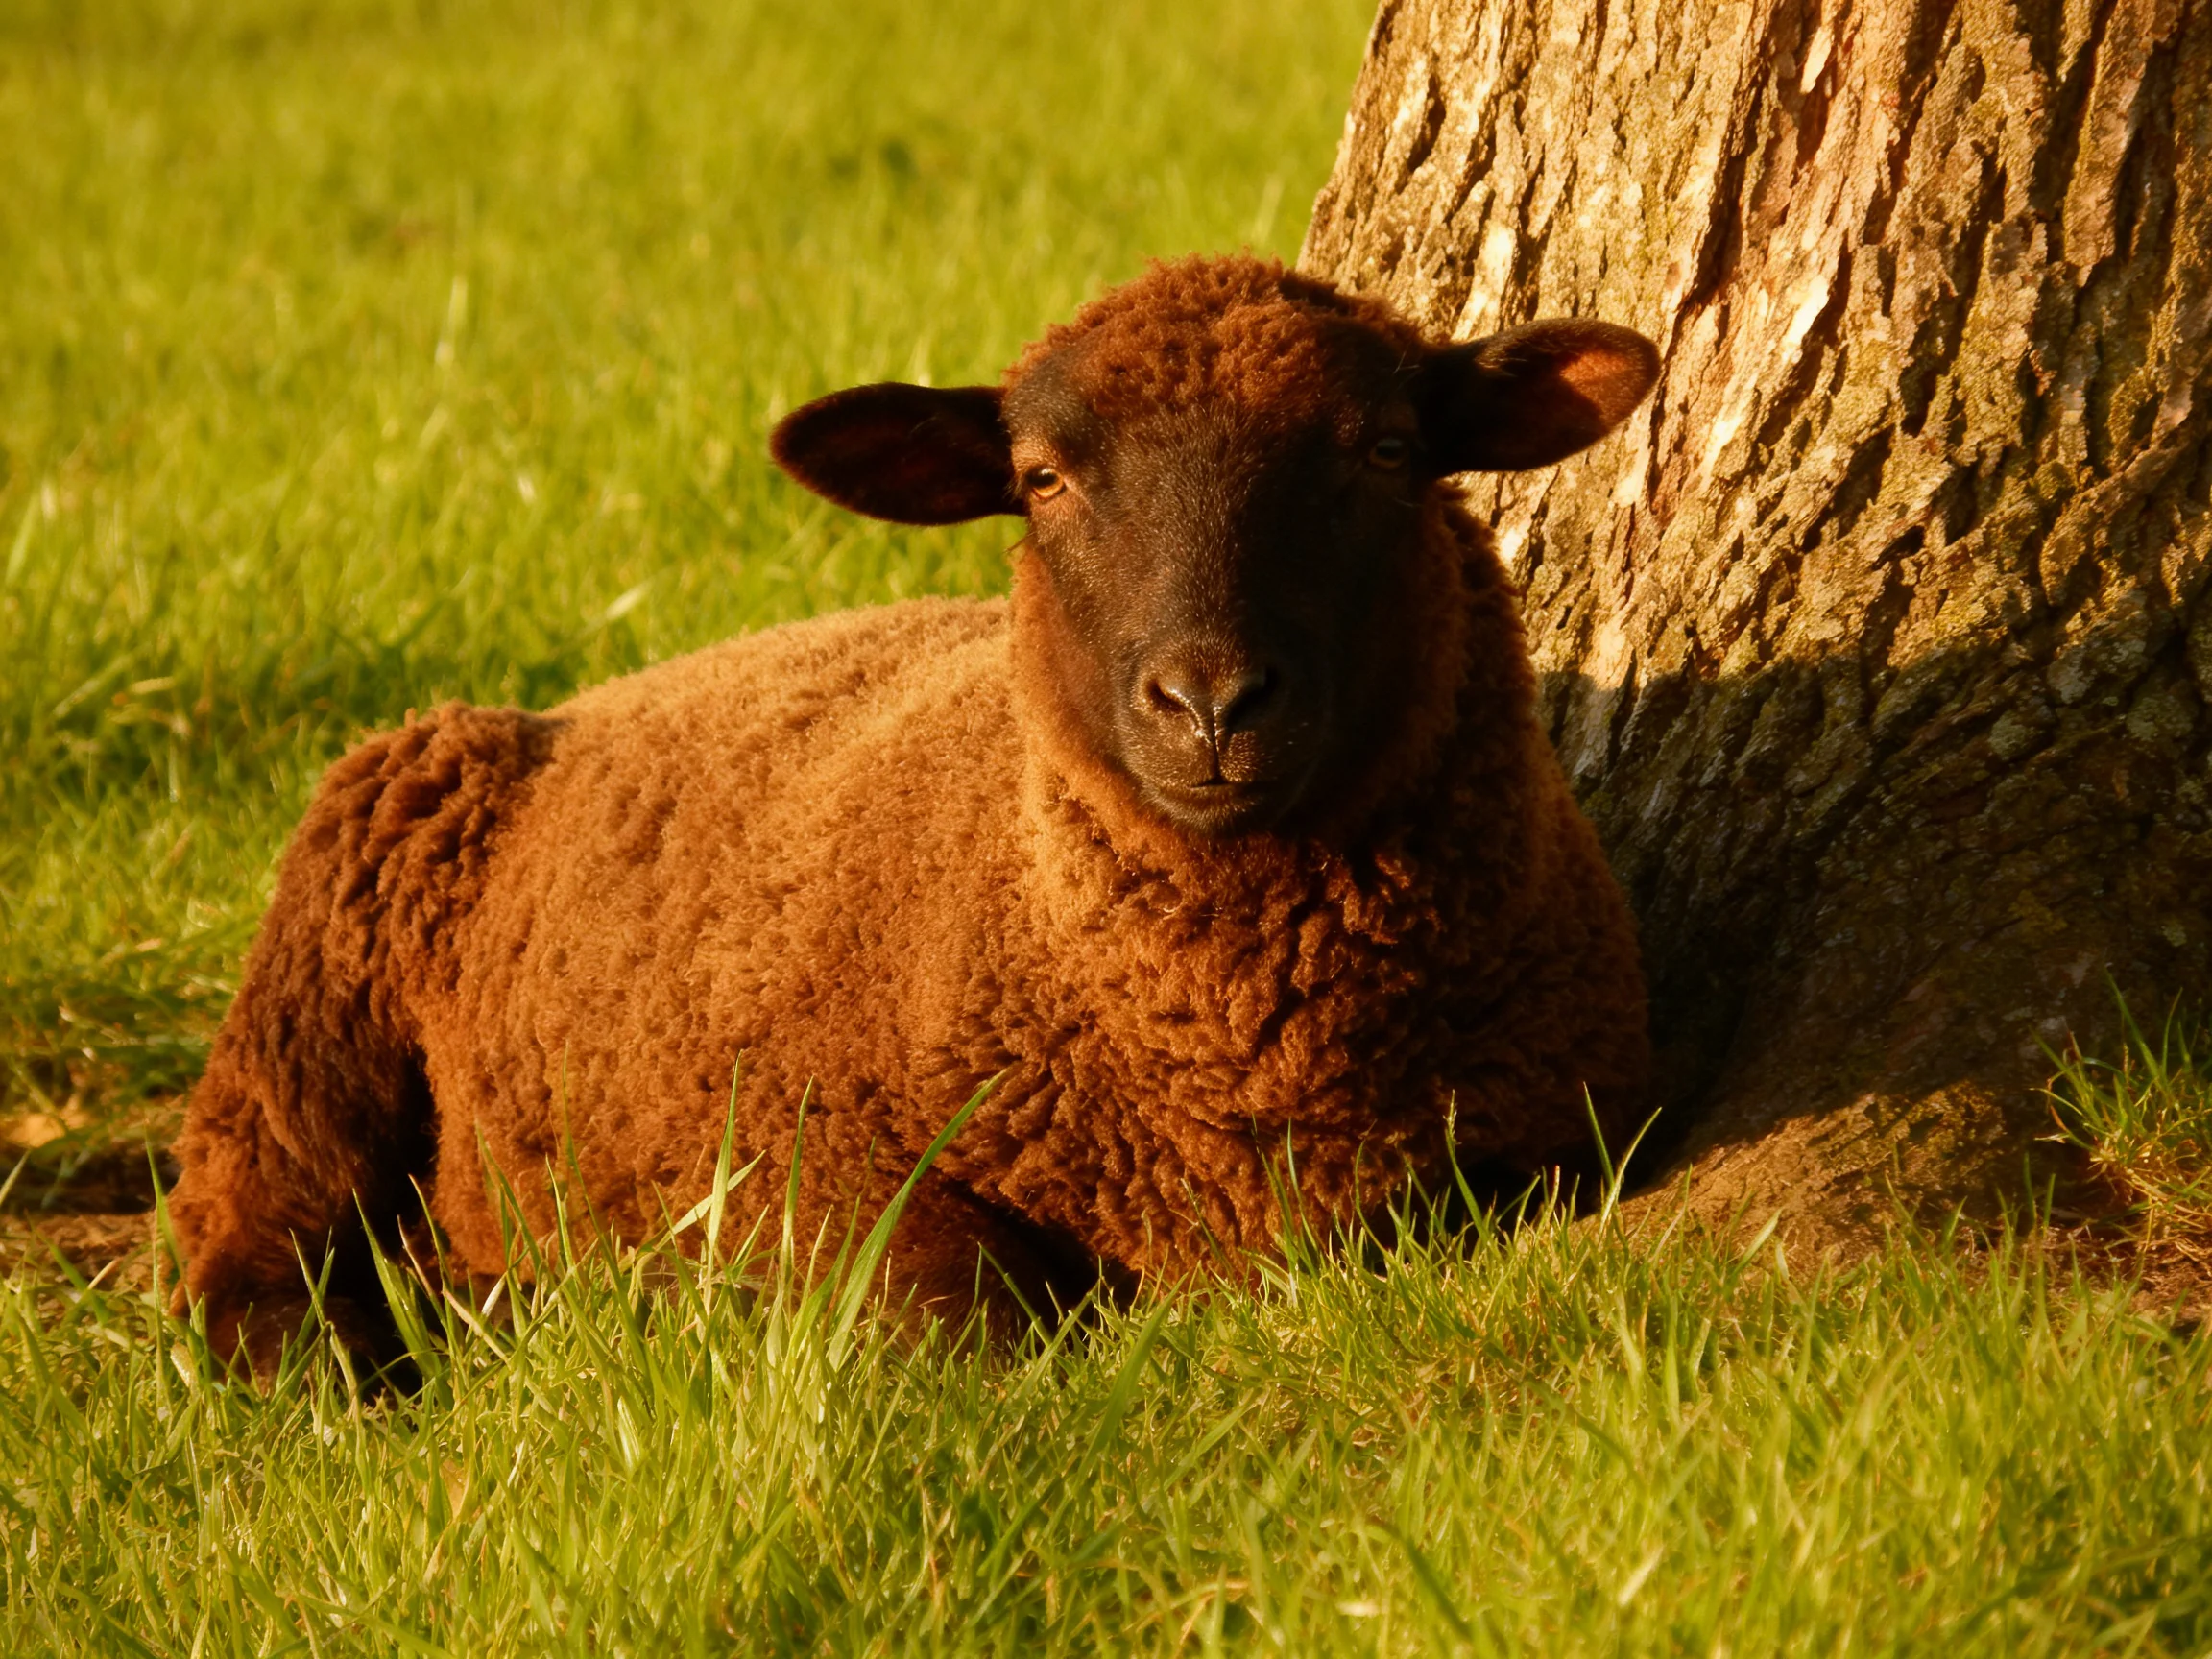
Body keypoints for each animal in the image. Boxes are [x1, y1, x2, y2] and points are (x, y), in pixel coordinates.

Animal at [171, 256, 1658, 1375]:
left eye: (1389, 450)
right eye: (1043, 478)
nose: (1211, 703)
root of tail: (572, 704)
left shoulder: (1542, 1146)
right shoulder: (793, 1157)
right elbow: (965, 1325)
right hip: (316, 991)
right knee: (242, 1229)